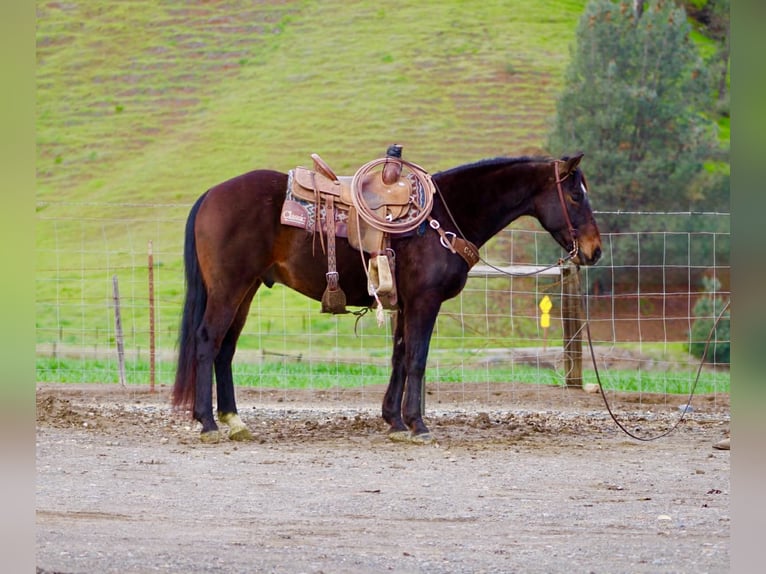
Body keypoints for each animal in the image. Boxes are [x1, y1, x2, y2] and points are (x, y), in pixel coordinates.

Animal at [172, 152, 602, 443]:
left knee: (226, 348)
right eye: (575, 196)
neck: (443, 217)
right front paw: (418, 424)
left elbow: (399, 356)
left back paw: (234, 420)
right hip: (229, 289)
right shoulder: (426, 301)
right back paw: (208, 423)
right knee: (207, 342)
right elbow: (417, 359)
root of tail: (211, 195)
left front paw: (394, 421)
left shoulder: (406, 303)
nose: (594, 251)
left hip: (245, 290)